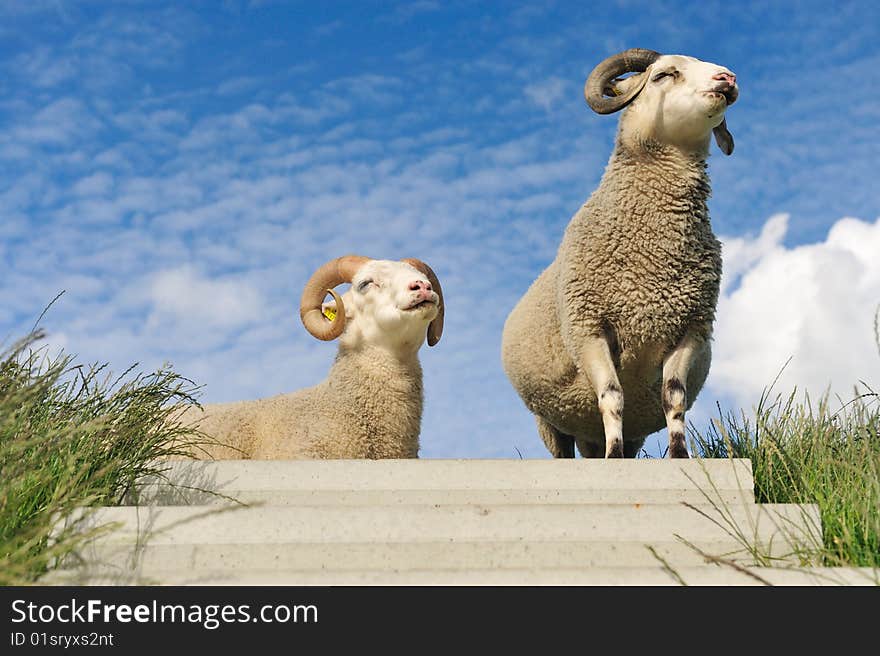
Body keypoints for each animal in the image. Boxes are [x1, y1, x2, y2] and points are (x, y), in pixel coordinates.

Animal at [498, 47, 740, 456]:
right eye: (663, 75)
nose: (727, 78)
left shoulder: (689, 328)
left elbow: (674, 397)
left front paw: (680, 456)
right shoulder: (589, 328)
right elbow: (612, 396)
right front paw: (615, 459)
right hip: (550, 421)